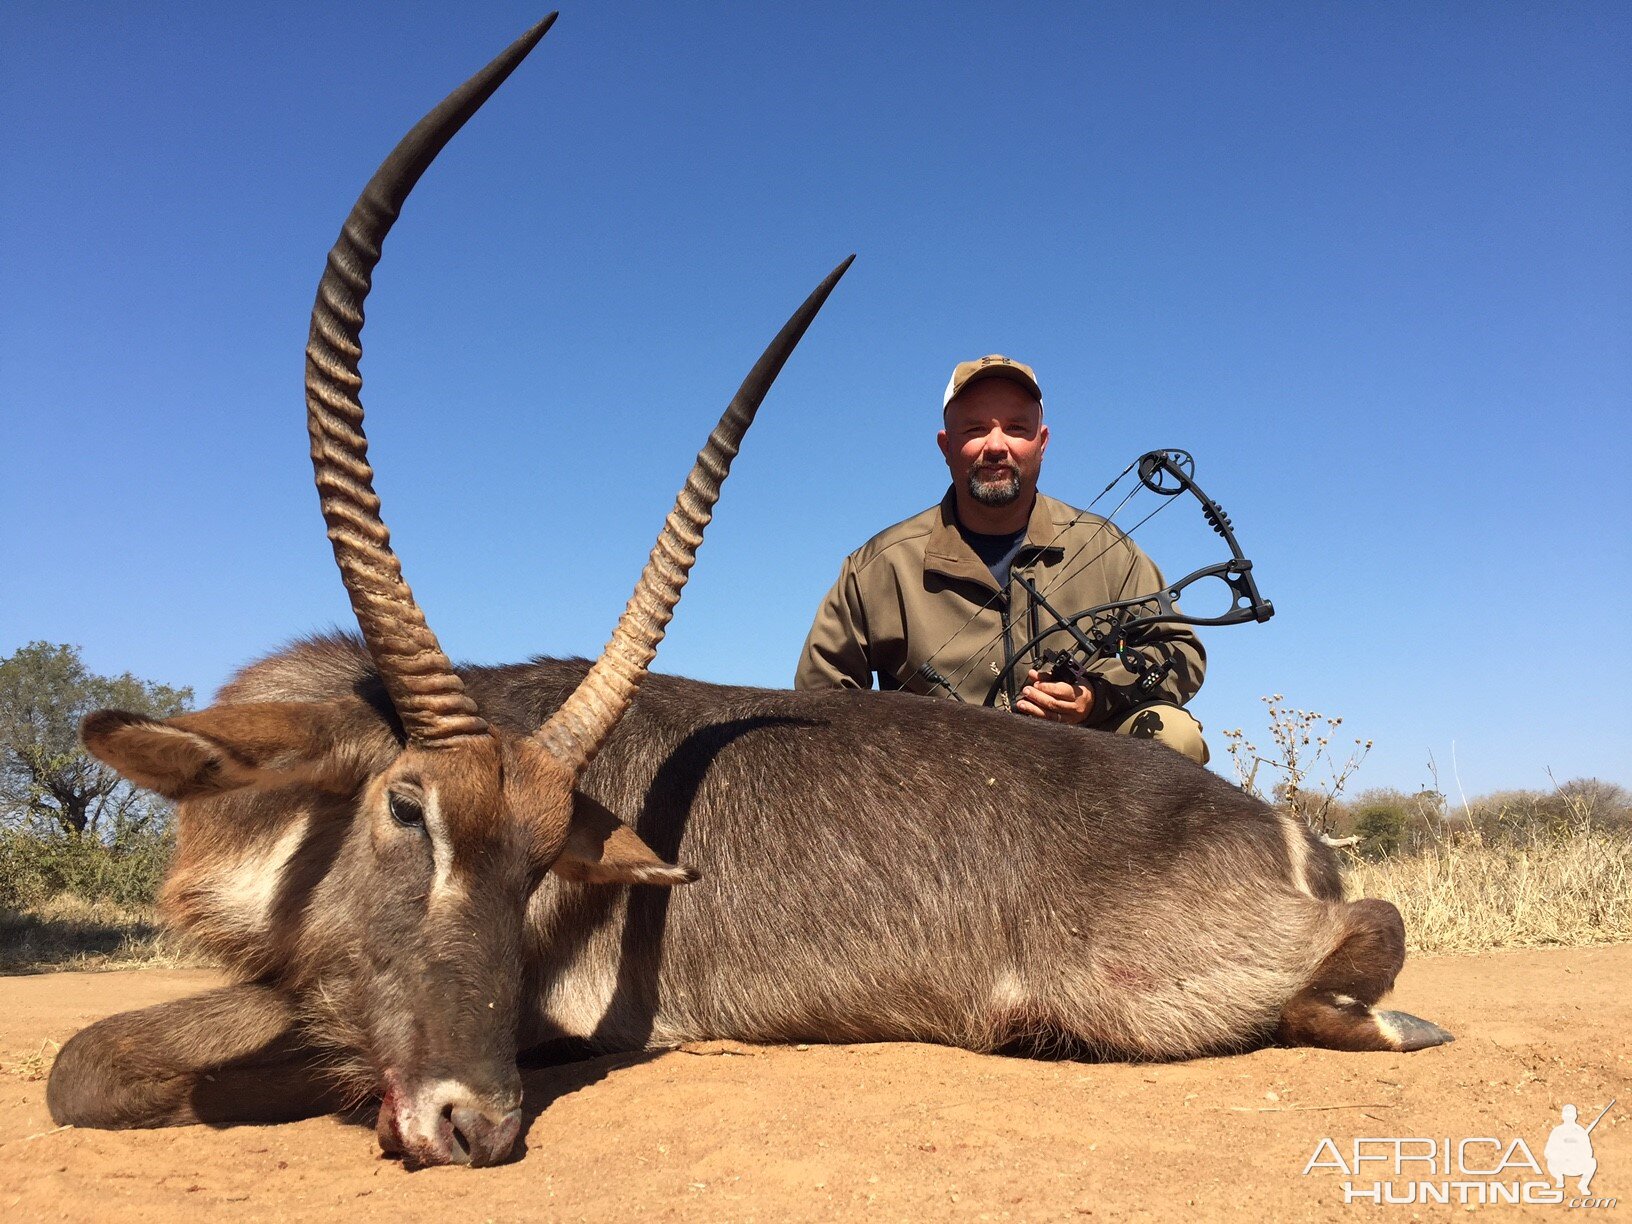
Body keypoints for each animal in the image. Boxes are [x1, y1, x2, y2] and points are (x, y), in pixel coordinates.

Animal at [47, 14, 1455, 1175]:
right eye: (407, 809)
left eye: (540, 860)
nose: (475, 1123)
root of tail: (1272, 828)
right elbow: (90, 1059)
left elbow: (89, 1062)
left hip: (1143, 995)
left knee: (1367, 930)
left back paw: (1389, 1020)